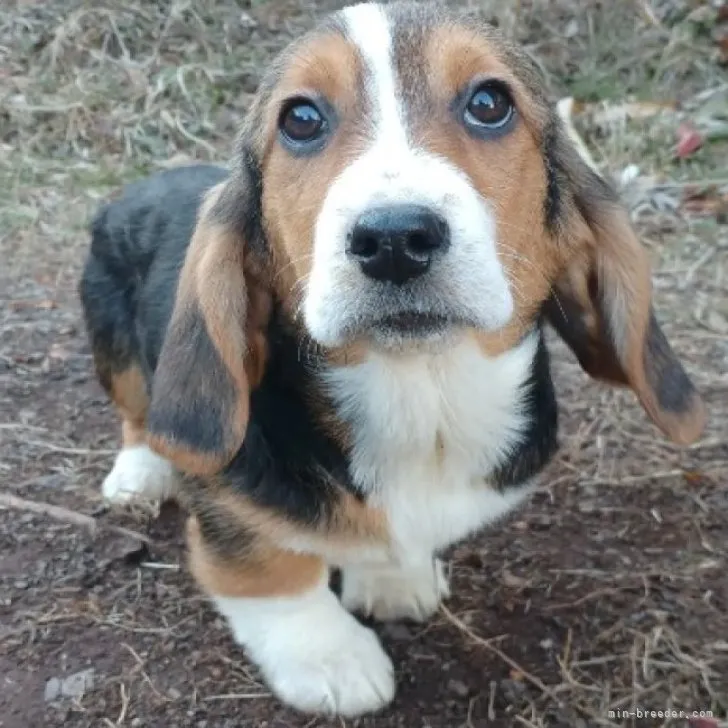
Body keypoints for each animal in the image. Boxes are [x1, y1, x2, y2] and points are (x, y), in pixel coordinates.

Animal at [78, 0, 704, 716]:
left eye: (490, 103)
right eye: (300, 119)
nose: (395, 239)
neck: (419, 389)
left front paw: (394, 578)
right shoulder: (229, 498)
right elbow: (271, 572)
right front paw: (330, 659)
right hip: (114, 344)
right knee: (138, 414)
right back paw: (138, 473)